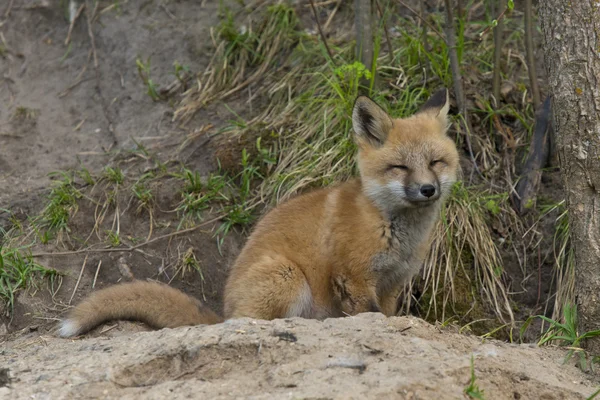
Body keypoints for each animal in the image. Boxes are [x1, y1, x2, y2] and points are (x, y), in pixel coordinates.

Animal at [57, 88, 460, 338]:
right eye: (399, 168)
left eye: (435, 162)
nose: (428, 189)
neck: (390, 227)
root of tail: (224, 309)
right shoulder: (355, 278)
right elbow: (365, 315)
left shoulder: (393, 284)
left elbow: (387, 317)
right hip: (288, 276)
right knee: (248, 323)